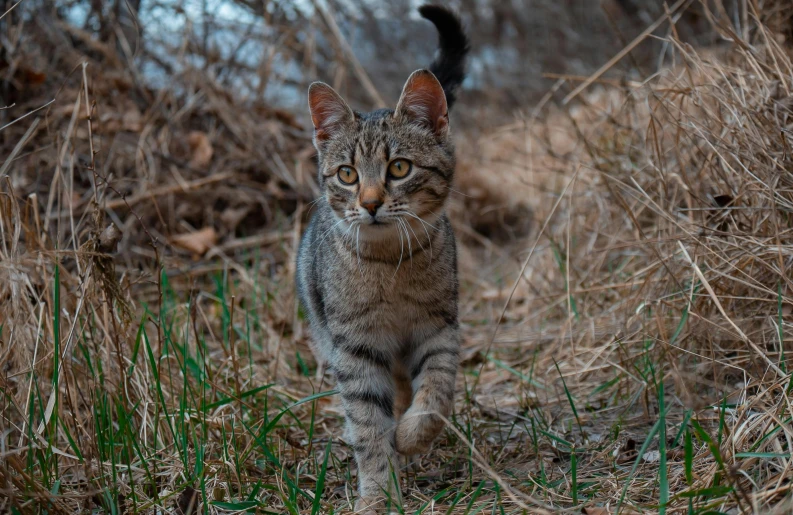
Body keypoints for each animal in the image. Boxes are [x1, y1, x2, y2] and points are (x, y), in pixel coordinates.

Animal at [296, 5, 470, 512]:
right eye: (347, 175)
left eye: (399, 168)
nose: (371, 203)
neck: (391, 266)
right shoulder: (353, 347)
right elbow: (368, 425)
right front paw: (377, 492)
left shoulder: (439, 326)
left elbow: (436, 391)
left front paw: (413, 435)